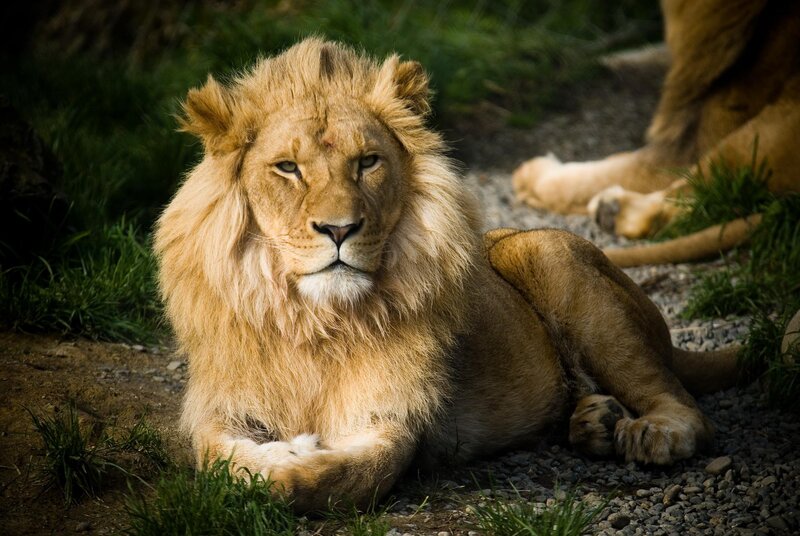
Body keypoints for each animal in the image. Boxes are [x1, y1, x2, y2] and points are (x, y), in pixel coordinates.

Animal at [154, 38, 739, 512]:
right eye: (287, 169)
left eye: (367, 162)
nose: (339, 229)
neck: (316, 319)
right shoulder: (220, 405)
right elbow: (215, 458)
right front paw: (270, 455)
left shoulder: (395, 419)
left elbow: (342, 476)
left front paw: (294, 459)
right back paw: (594, 420)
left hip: (548, 253)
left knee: (690, 410)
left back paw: (651, 432)